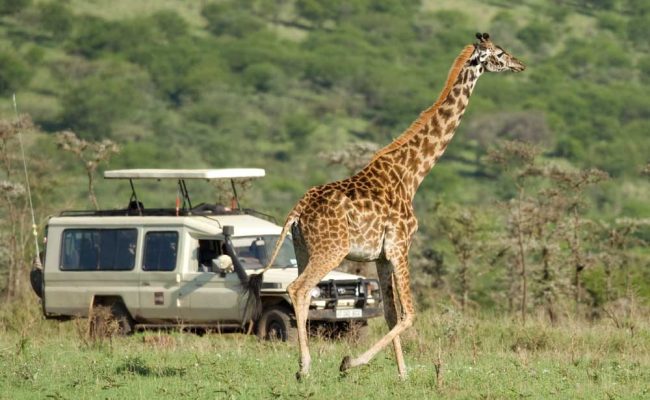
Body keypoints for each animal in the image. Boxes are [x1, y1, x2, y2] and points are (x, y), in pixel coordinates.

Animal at [246, 32, 524, 380]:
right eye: (500, 53)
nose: (520, 64)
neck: (411, 174)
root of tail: (296, 212)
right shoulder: (400, 245)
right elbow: (410, 313)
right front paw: (351, 362)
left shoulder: (380, 255)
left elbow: (391, 313)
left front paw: (402, 374)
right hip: (331, 249)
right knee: (298, 288)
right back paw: (304, 368)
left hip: (303, 248)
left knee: (303, 292)